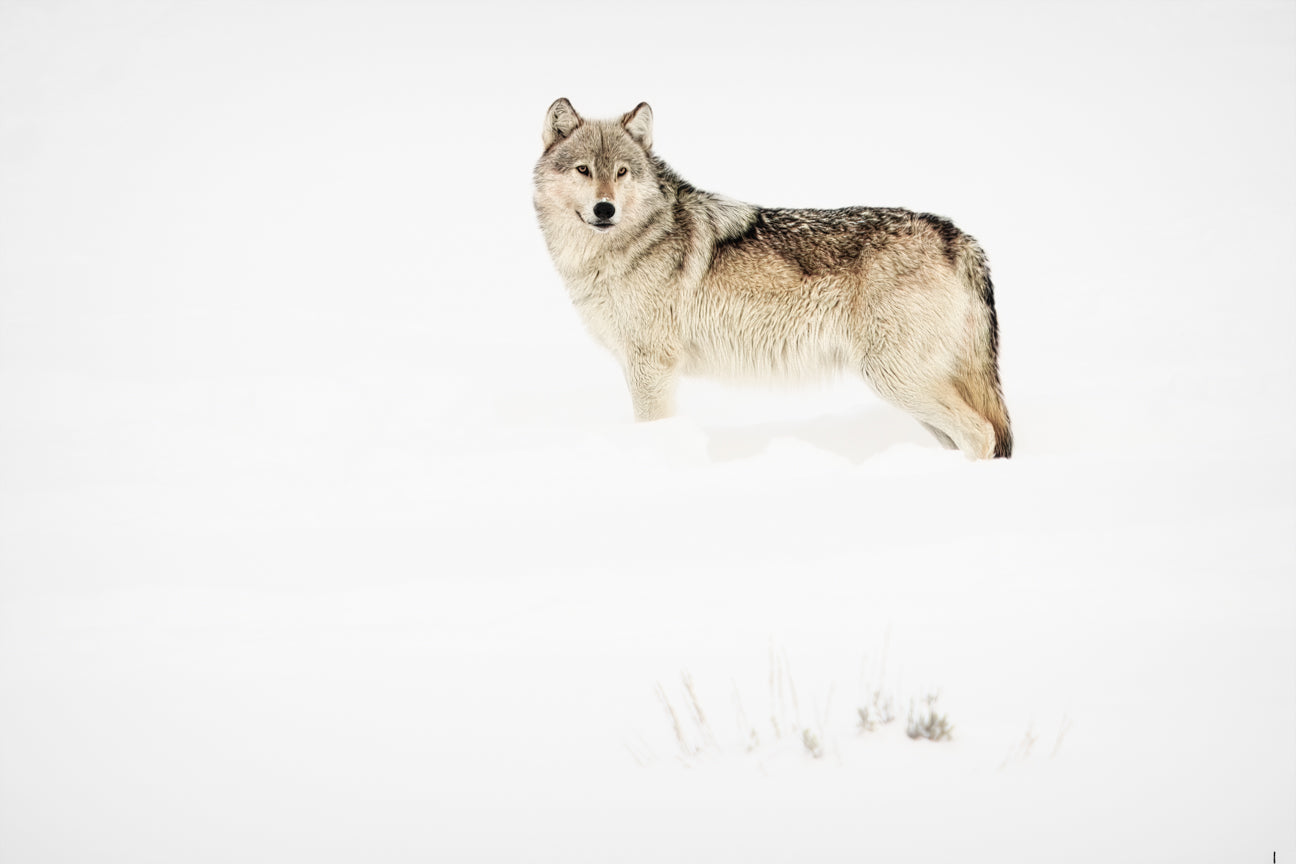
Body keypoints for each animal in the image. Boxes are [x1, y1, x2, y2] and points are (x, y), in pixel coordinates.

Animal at [532, 98, 1012, 459]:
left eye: (622, 172)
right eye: (583, 170)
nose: (605, 209)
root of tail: (957, 235)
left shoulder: (652, 366)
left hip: (895, 379)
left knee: (983, 434)